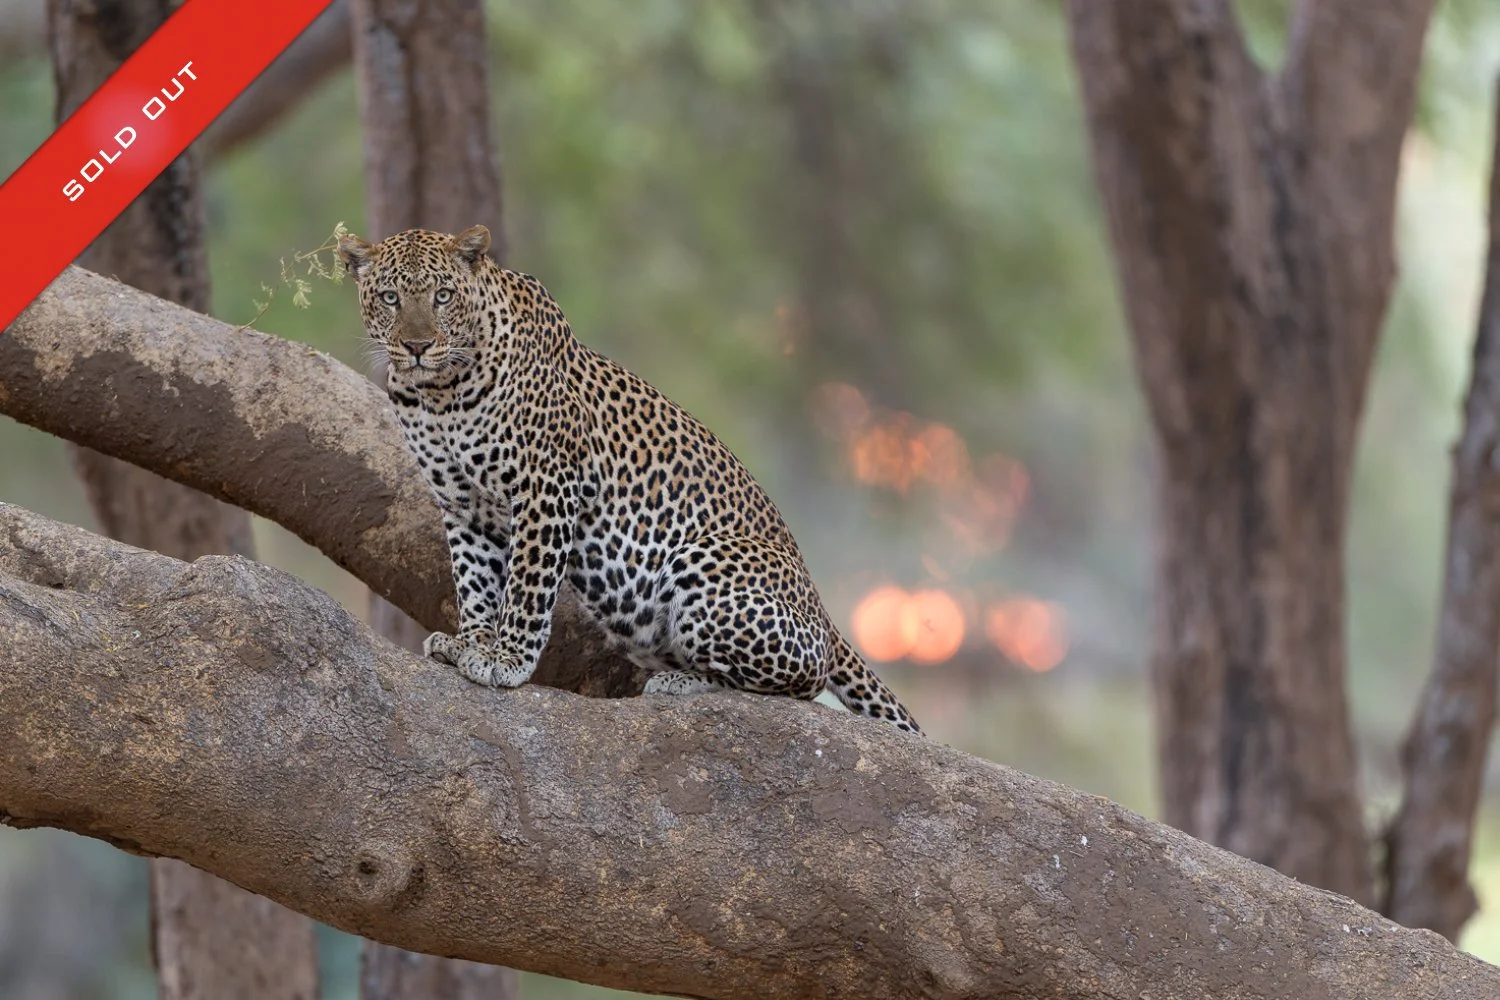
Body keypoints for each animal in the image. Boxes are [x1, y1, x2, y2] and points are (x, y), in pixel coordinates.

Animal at [338, 224, 921, 735]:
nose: (416, 346)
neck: (440, 393)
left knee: (802, 682)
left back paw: (684, 682)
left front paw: (508, 659)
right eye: (390, 297)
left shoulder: (545, 485)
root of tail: (824, 613)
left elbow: (526, 583)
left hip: (703, 564)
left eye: (441, 296)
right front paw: (472, 644)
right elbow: (474, 581)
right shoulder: (463, 505)